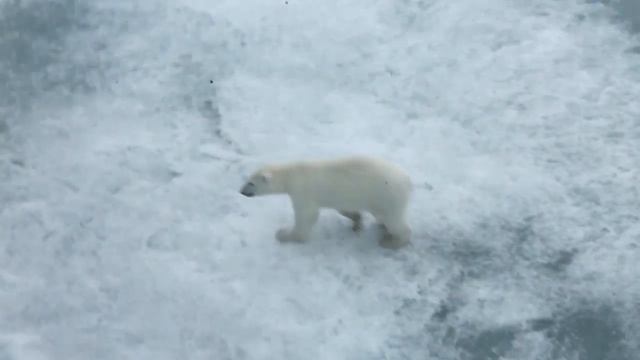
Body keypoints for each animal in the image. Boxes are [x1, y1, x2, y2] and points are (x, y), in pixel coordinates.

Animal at [240, 156, 416, 249]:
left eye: (251, 183)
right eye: (247, 179)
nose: (241, 191)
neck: (292, 174)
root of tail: (408, 180)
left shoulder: (303, 192)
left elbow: (307, 216)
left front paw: (283, 234)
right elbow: (344, 208)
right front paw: (356, 221)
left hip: (388, 196)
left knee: (396, 221)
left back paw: (391, 241)